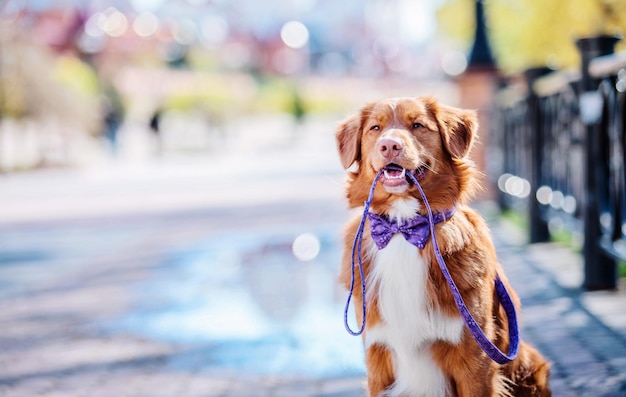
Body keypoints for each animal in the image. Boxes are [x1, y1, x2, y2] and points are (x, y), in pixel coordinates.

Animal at [336, 96, 544, 396]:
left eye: (417, 125)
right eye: (375, 128)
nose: (390, 145)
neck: (403, 229)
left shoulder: (475, 360)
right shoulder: (378, 359)